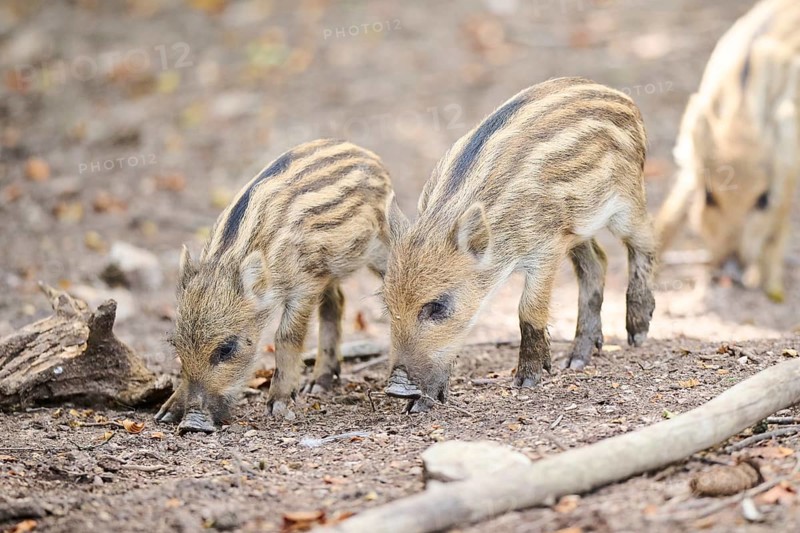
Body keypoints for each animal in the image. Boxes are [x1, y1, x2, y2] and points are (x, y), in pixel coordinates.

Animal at [155, 139, 393, 432]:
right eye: (176, 346)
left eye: (227, 348)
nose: (192, 424)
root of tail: (369, 155)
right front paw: (165, 413)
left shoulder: (304, 285)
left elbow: (286, 337)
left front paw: (278, 405)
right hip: (329, 270)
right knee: (335, 303)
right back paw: (318, 385)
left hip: (379, 248)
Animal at [382, 77, 656, 412]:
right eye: (388, 306)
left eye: (437, 306)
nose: (396, 389)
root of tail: (621, 97)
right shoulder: (560, 237)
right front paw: (421, 406)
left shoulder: (547, 245)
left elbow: (529, 309)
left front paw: (527, 381)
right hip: (579, 225)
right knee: (597, 263)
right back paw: (577, 360)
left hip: (627, 200)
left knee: (645, 240)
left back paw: (637, 333)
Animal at [655, 0, 800, 302]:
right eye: (709, 196)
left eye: (763, 200)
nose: (730, 273)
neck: (742, 120)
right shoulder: (691, 160)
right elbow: (672, 211)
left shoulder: (789, 168)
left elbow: (778, 225)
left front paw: (771, 288)